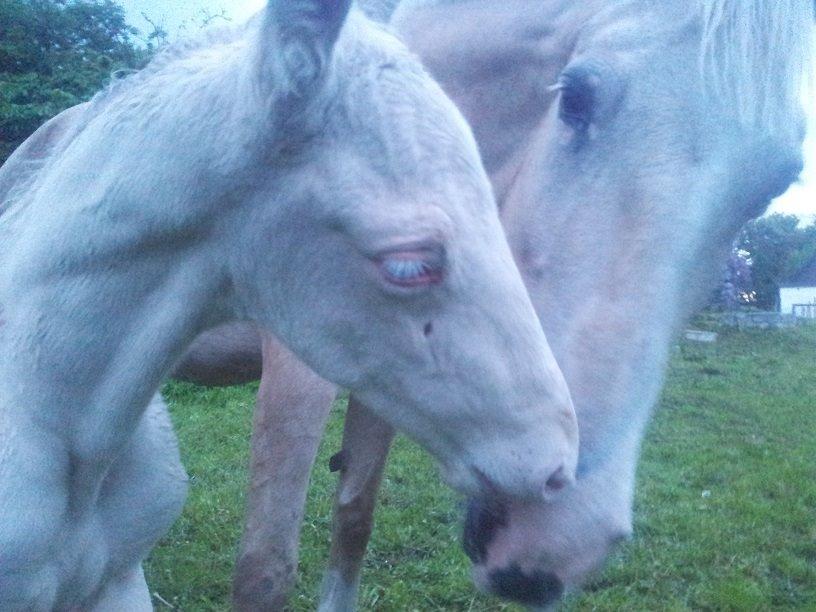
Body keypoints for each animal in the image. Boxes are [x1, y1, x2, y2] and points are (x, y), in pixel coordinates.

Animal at [171, 0, 808, 608]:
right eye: (574, 96)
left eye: (777, 184)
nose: (555, 542)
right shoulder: (297, 373)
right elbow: (264, 571)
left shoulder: (388, 379)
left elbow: (353, 522)